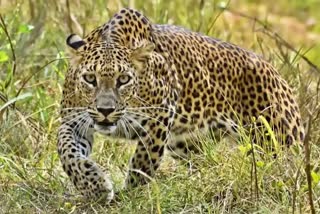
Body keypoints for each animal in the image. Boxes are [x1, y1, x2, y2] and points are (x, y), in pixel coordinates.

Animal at [57, 7, 304, 201]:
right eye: (90, 79)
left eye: (124, 79)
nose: (105, 111)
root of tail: (277, 73)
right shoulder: (72, 121)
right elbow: (67, 152)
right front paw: (95, 186)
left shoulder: (159, 118)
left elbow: (143, 162)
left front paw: (129, 195)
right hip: (187, 144)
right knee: (206, 163)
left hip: (279, 140)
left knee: (290, 168)